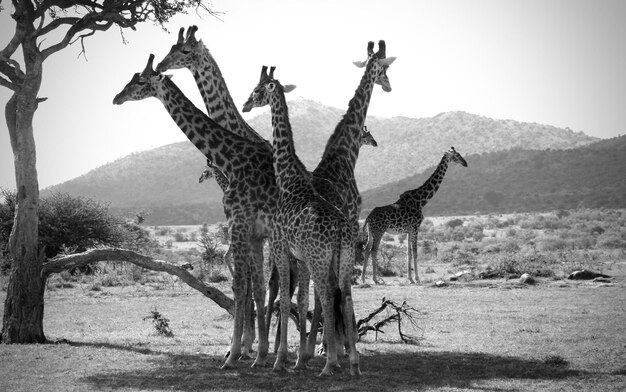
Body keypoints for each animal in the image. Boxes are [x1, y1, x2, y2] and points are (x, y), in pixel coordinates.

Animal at [244, 66, 360, 376]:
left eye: (257, 90)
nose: (246, 104)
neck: (287, 180)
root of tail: (341, 229)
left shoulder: (282, 248)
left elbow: (285, 299)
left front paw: (281, 360)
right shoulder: (302, 257)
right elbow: (302, 300)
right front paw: (297, 360)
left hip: (321, 259)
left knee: (328, 296)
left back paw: (330, 363)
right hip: (343, 258)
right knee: (345, 296)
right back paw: (353, 364)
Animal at [358, 149, 466, 284]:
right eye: (456, 155)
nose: (465, 163)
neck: (421, 200)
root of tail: (368, 218)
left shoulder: (409, 230)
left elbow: (408, 253)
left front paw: (410, 278)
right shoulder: (415, 227)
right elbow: (415, 252)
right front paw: (417, 278)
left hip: (371, 231)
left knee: (367, 249)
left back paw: (363, 278)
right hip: (379, 231)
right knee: (373, 250)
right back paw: (375, 279)